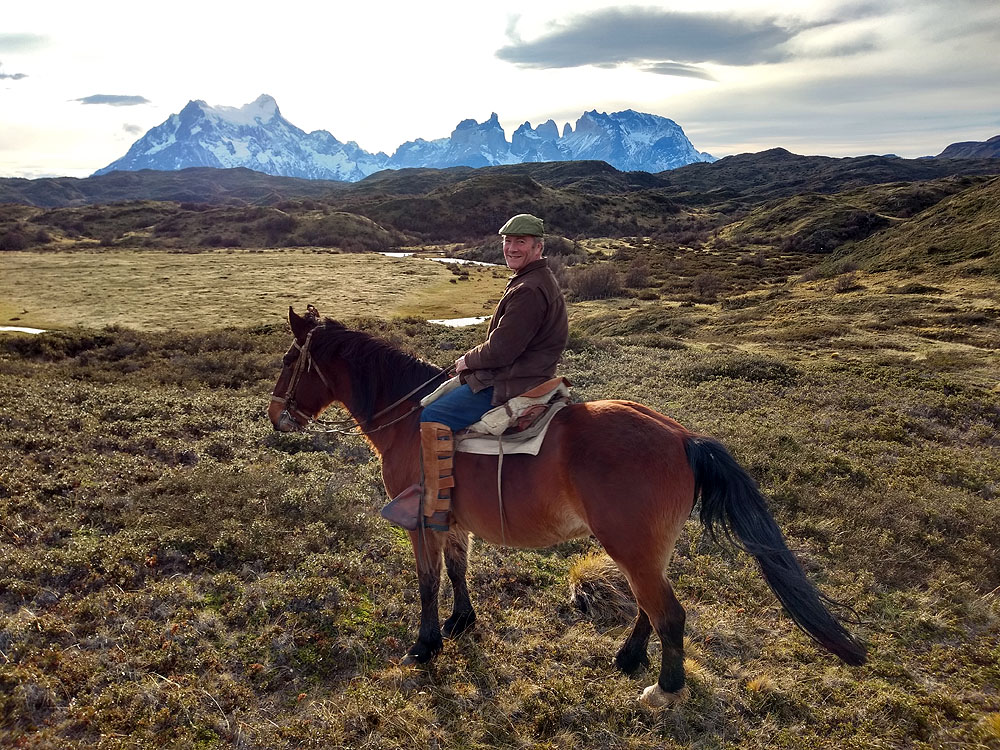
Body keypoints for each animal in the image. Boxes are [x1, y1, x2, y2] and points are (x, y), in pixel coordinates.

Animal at [270, 308, 864, 708]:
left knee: (669, 612)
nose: (276, 417)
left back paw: (664, 690)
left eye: (288, 359)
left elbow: (428, 582)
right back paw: (629, 658)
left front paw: (425, 645)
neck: (408, 419)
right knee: (650, 604)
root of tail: (682, 437)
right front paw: (462, 623)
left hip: (630, 545)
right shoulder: (452, 521)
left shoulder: (421, 523)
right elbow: (460, 570)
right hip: (644, 548)